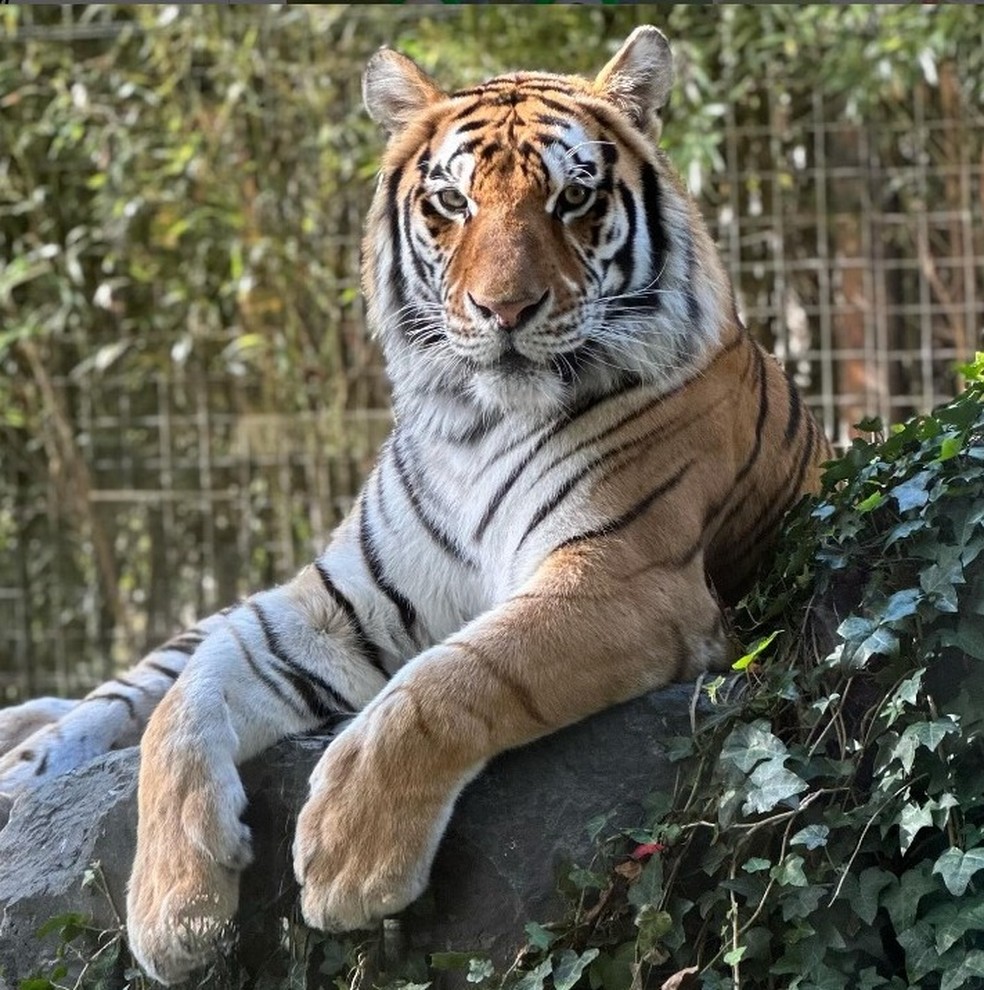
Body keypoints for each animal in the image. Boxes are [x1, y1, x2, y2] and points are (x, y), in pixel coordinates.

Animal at [0, 27, 832, 988]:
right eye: (450, 202)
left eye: (574, 197)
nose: (505, 310)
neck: (473, 422)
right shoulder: (334, 604)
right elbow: (184, 703)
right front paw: (174, 912)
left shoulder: (626, 578)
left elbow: (454, 676)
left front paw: (344, 855)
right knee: (125, 693)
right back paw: (20, 758)